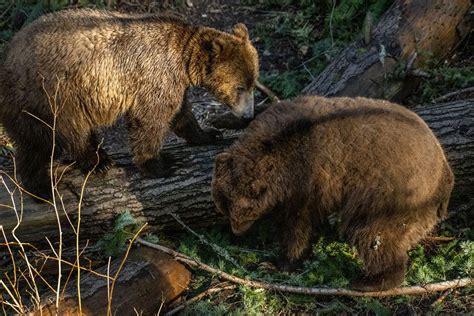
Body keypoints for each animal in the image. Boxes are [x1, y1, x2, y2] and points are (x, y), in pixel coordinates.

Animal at [0, 9, 260, 200]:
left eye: (253, 83)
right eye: (240, 87)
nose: (248, 115)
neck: (185, 60)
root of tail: (8, 56)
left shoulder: (174, 82)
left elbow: (180, 114)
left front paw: (208, 134)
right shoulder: (156, 73)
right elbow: (150, 119)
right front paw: (161, 164)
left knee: (36, 142)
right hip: (53, 94)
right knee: (63, 133)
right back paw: (85, 168)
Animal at [213, 95, 454, 292]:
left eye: (242, 214)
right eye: (223, 208)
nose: (236, 231)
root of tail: (445, 172)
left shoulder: (307, 181)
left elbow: (297, 227)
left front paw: (276, 263)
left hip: (393, 195)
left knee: (373, 233)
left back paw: (369, 280)